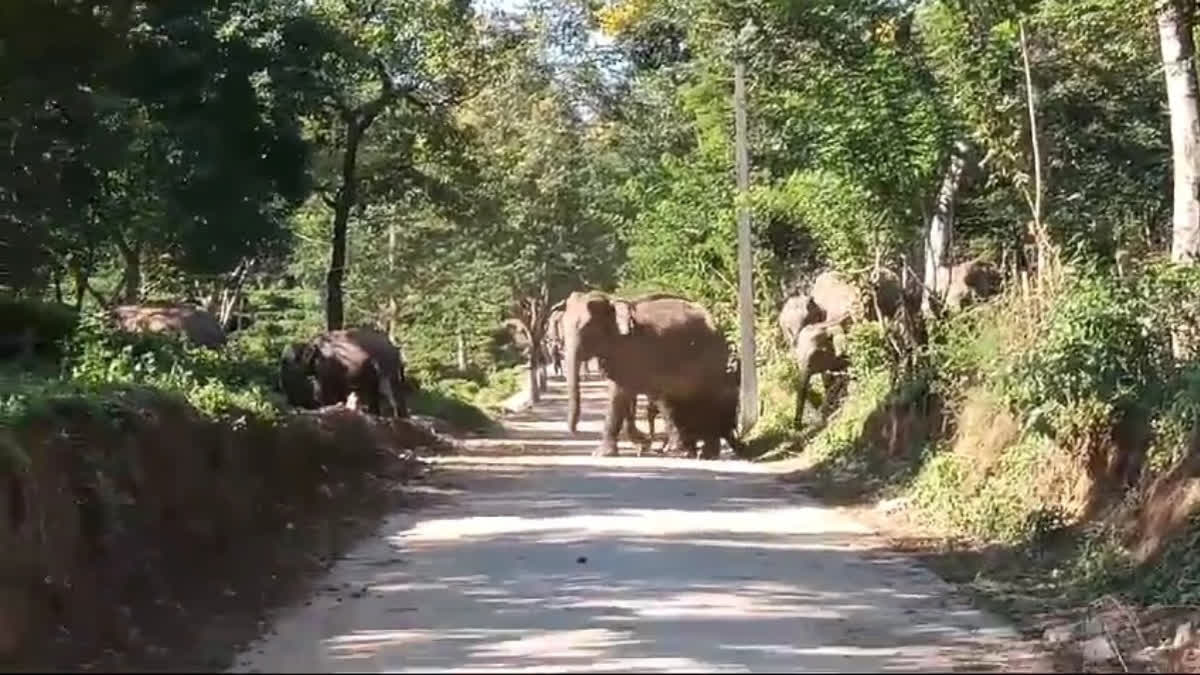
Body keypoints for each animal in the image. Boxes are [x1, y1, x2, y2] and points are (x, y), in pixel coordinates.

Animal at [278, 324, 410, 415]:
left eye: (288, 362)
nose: (292, 403)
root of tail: (395, 348)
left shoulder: (327, 368)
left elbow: (325, 391)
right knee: (375, 392)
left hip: (387, 367)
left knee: (389, 391)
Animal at [561, 285, 729, 454]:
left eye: (586, 328)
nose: (576, 432)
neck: (612, 300)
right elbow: (627, 393)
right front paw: (641, 444)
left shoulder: (630, 348)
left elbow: (619, 393)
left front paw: (601, 454)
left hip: (712, 355)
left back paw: (702, 453)